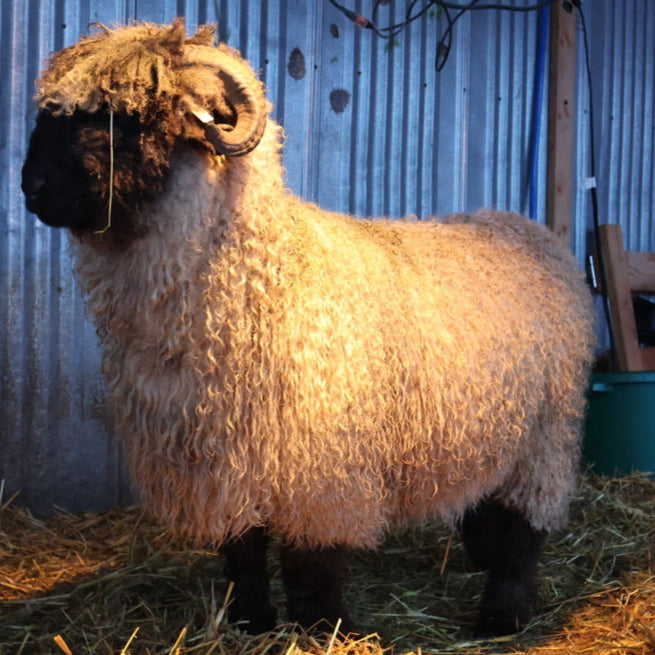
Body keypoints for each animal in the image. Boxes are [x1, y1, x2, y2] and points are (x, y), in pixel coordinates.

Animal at [21, 19, 595, 637]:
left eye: (128, 118)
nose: (32, 186)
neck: (265, 280)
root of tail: (525, 227)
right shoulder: (224, 463)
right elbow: (242, 553)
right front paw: (250, 621)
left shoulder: (320, 469)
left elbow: (311, 564)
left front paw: (322, 628)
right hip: (491, 428)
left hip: (546, 431)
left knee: (526, 528)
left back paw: (500, 614)